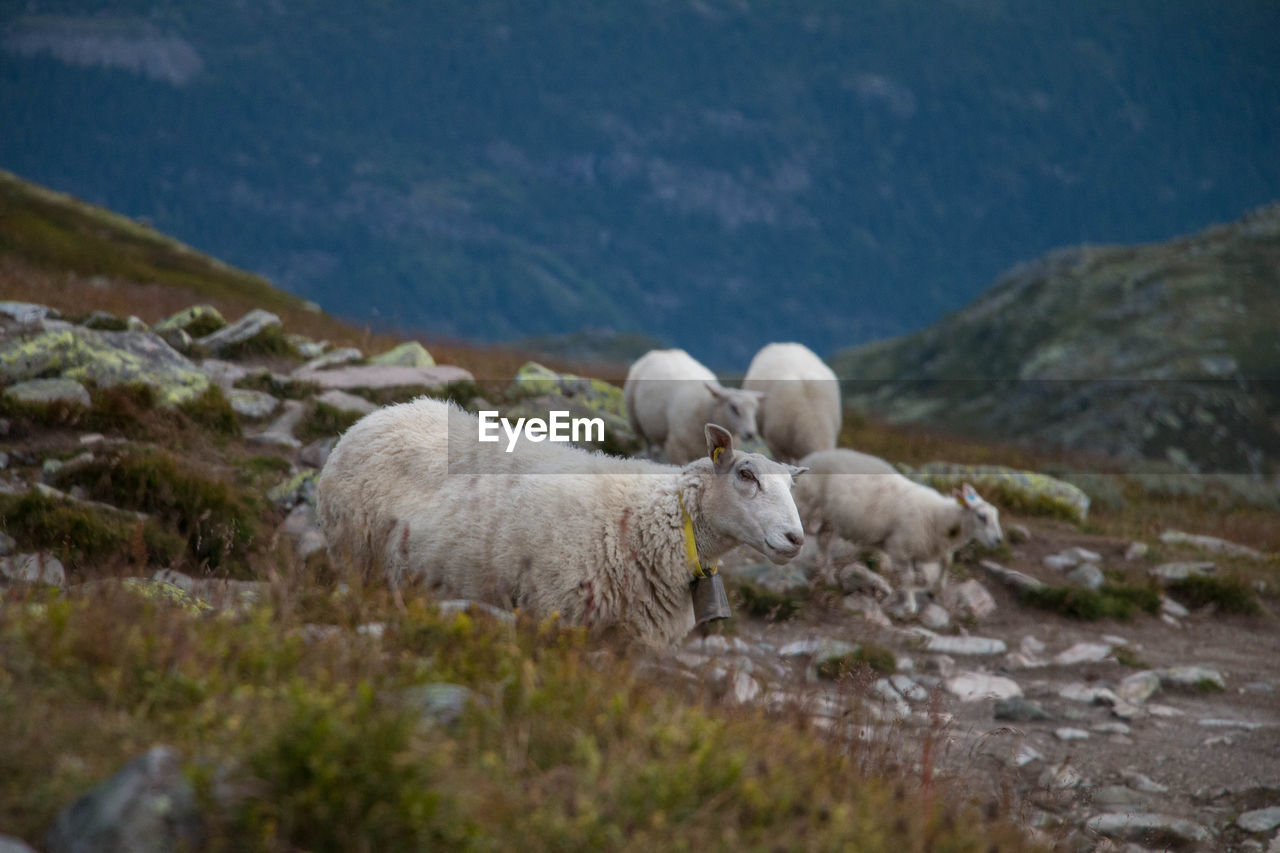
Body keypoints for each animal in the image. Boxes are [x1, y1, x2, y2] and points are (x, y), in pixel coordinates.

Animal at [314, 399, 803, 645]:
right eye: (746, 475)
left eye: (792, 485)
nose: (796, 538)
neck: (657, 518)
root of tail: (377, 416)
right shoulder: (556, 613)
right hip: (354, 556)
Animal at [627, 348, 762, 461]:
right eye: (733, 407)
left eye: (755, 410)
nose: (750, 434)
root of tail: (663, 352)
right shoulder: (677, 447)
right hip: (637, 422)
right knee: (648, 443)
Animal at [793, 445, 1003, 604]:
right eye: (982, 517)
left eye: (995, 515)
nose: (998, 540)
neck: (939, 516)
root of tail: (810, 457)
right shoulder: (900, 547)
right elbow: (909, 578)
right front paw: (910, 605)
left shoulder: (927, 546)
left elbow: (946, 562)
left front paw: (935, 590)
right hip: (805, 505)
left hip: (828, 517)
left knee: (823, 541)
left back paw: (829, 577)